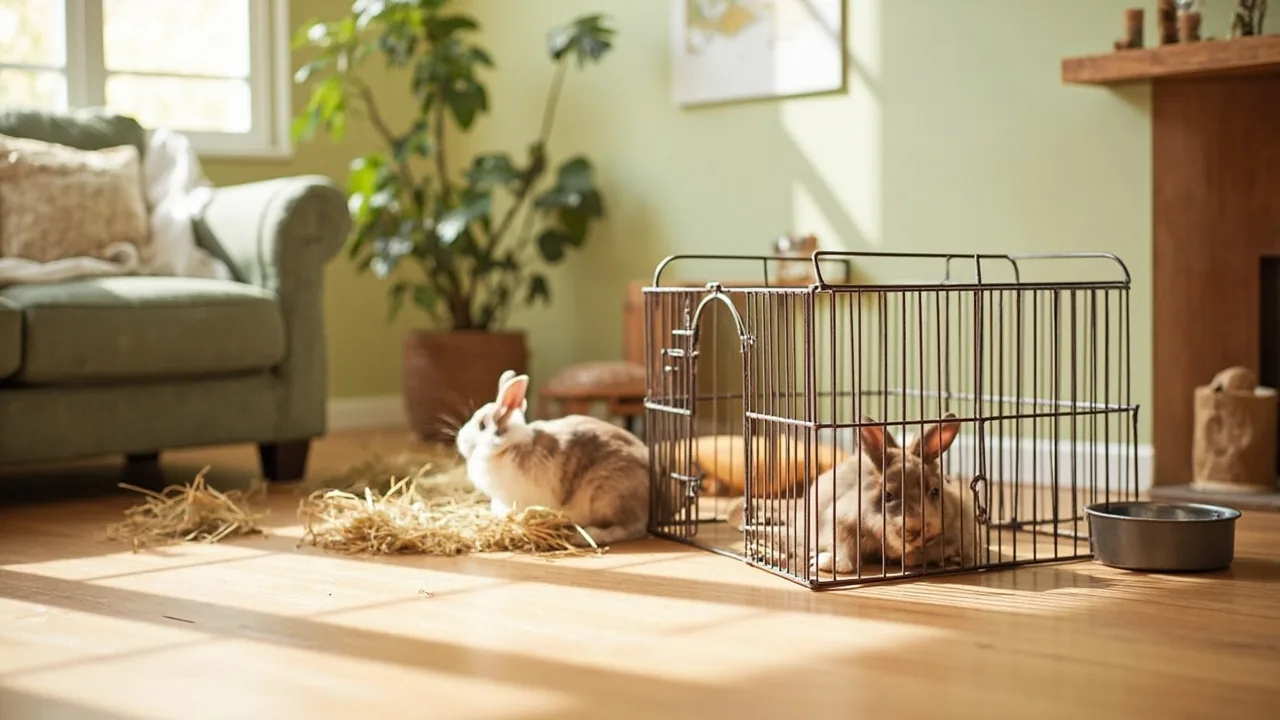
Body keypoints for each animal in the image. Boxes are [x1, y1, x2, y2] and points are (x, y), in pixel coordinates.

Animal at [455, 370, 651, 546]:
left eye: (481, 425)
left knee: (632, 528)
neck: (506, 447)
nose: (460, 440)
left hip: (607, 497)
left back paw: (584, 537)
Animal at [803, 413, 964, 575]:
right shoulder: (840, 520)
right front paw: (823, 562)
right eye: (888, 495)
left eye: (935, 491)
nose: (917, 530)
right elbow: (845, 549)